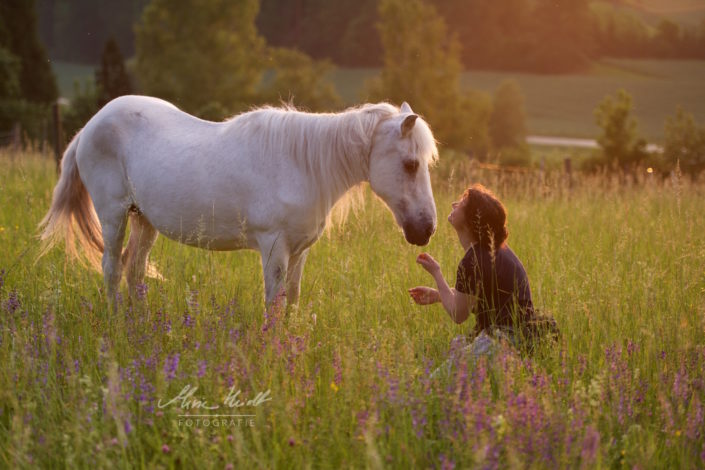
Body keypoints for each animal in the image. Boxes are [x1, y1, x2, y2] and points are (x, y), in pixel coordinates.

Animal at [38, 95, 438, 308]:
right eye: (410, 164)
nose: (426, 229)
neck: (302, 165)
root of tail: (91, 125)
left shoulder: (300, 251)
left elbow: (291, 300)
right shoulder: (274, 249)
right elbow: (274, 303)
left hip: (144, 220)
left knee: (134, 270)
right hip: (114, 215)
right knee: (111, 268)